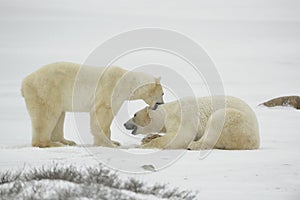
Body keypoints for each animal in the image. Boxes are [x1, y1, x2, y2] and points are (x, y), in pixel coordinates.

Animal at [21, 61, 164, 148]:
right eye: (162, 93)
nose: (161, 103)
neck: (127, 82)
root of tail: (24, 81)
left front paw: (114, 141)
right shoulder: (110, 86)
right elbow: (102, 112)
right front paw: (108, 144)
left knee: (59, 115)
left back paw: (66, 141)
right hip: (47, 90)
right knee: (46, 115)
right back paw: (50, 143)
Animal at [124, 95, 260, 150]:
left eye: (135, 115)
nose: (125, 124)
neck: (168, 111)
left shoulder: (182, 116)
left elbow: (182, 136)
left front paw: (141, 146)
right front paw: (148, 138)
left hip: (237, 123)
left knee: (216, 123)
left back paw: (193, 145)